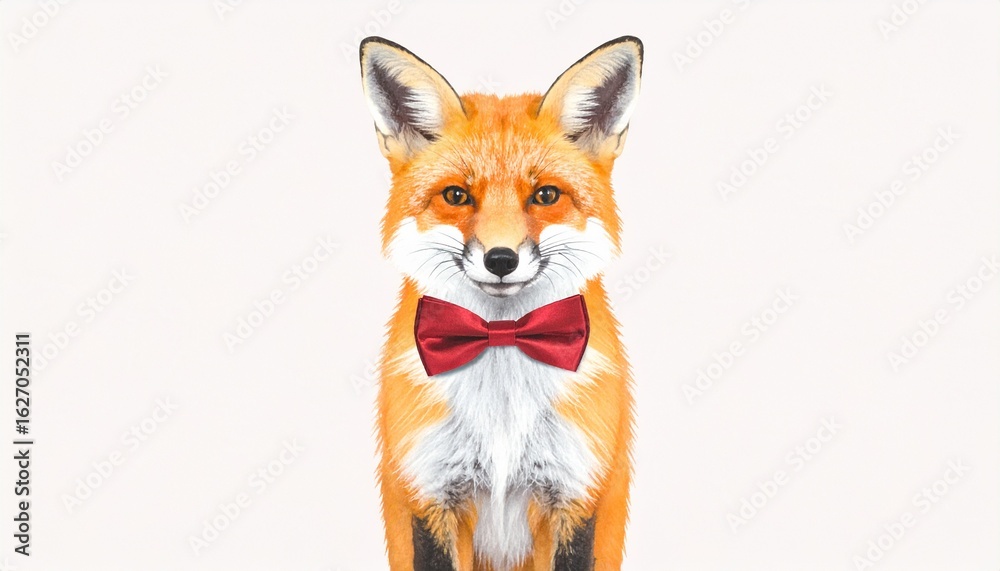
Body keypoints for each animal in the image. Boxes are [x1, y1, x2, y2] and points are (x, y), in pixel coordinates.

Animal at [359, 35, 643, 571]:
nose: (501, 259)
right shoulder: (431, 494)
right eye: (457, 196)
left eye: (545, 195)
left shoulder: (575, 495)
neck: (501, 342)